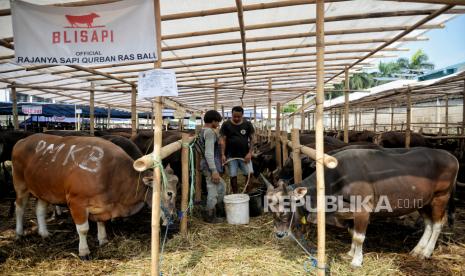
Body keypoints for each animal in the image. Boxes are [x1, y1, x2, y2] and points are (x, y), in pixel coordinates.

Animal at [13, 134, 178, 258]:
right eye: (169, 193)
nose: (174, 217)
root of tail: (23, 140)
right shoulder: (76, 203)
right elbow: (83, 229)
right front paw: (84, 251)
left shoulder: (103, 206)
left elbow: (101, 222)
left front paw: (103, 239)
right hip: (21, 186)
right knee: (19, 208)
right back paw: (19, 233)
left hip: (43, 190)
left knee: (40, 210)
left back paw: (44, 233)